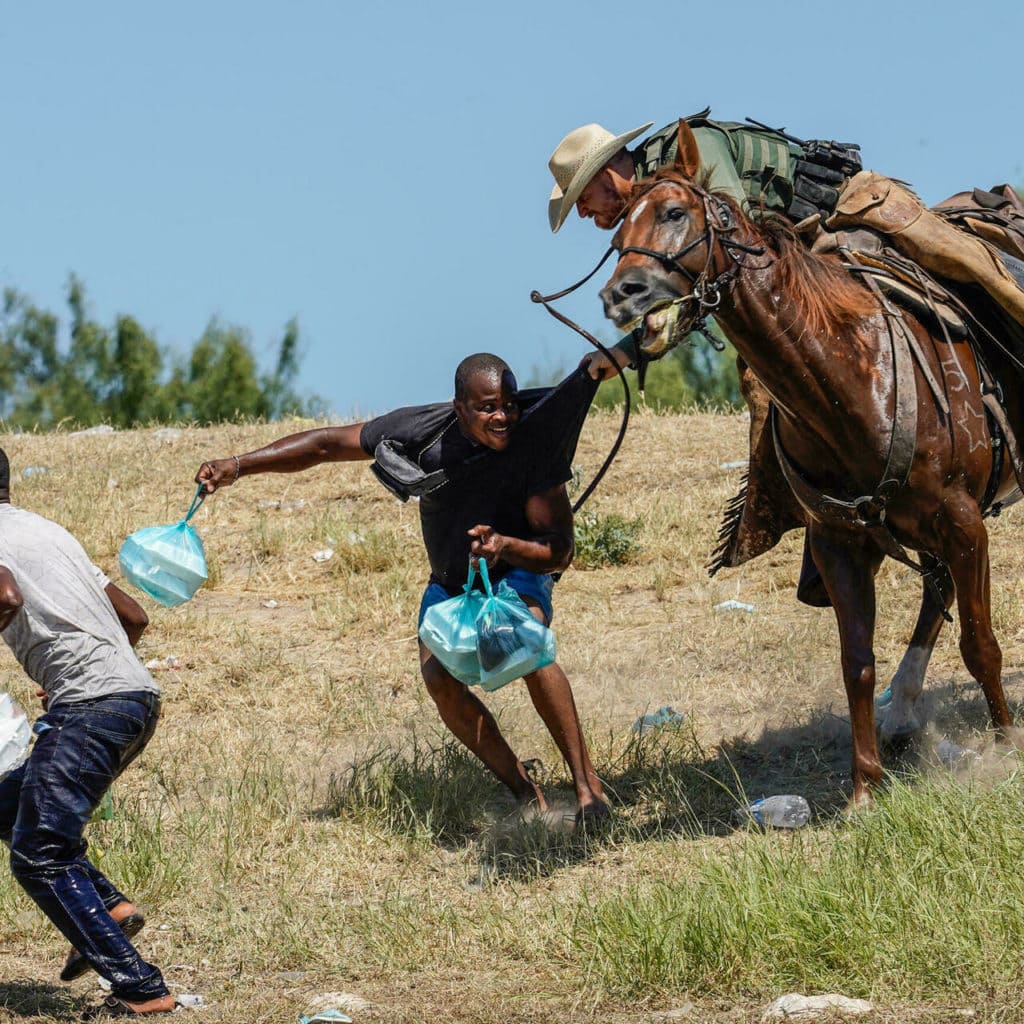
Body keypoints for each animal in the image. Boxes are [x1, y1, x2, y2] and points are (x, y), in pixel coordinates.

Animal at [599, 119, 1023, 807]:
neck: (851, 375)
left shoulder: (964, 521)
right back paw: (903, 709)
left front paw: (1007, 747)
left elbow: (980, 643)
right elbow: (857, 663)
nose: (621, 294)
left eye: (674, 212)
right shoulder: (838, 542)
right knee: (933, 594)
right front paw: (864, 789)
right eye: (615, 238)